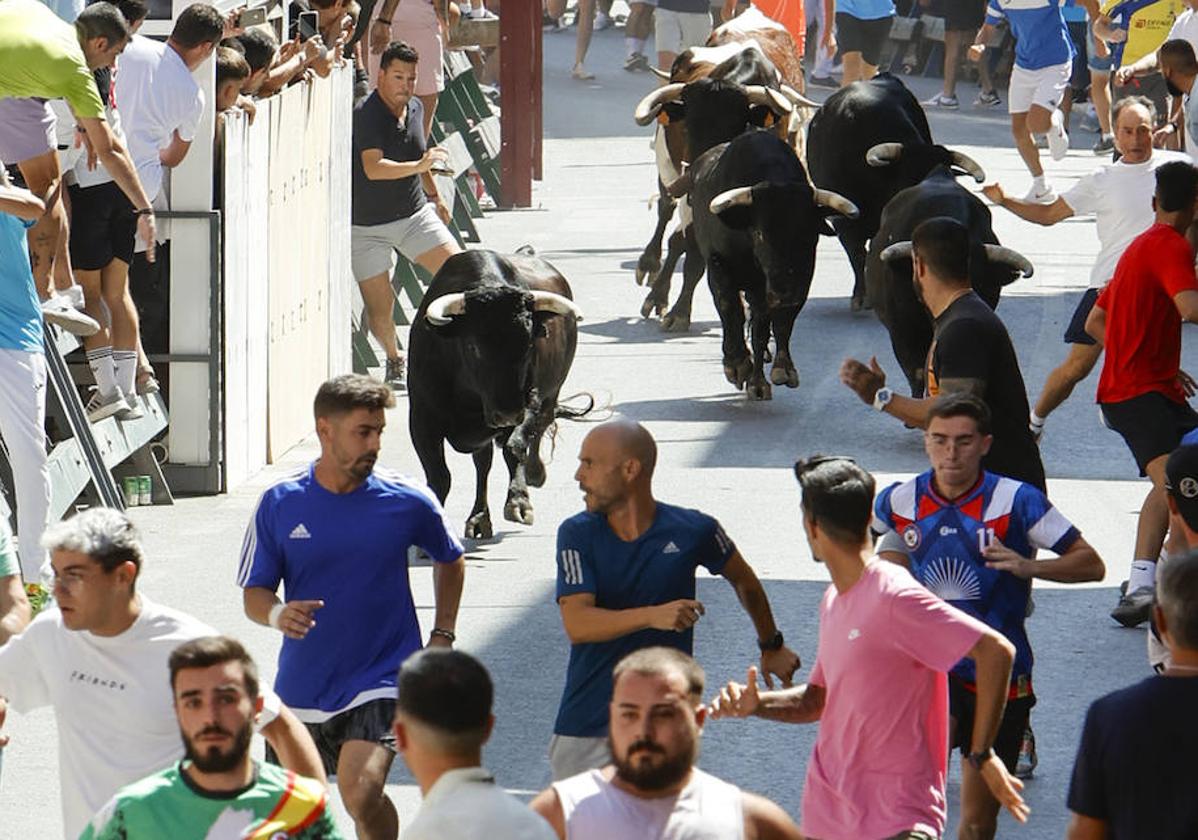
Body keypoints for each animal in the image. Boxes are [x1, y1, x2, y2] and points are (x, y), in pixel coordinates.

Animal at [407, 249, 584, 536]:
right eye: (473, 346)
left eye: (529, 344)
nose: (506, 414)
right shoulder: (422, 420)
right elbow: (439, 475)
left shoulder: (529, 403)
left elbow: (515, 447)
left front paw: (519, 502)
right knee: (483, 463)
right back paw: (479, 518)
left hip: (551, 394)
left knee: (536, 430)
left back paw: (532, 474)